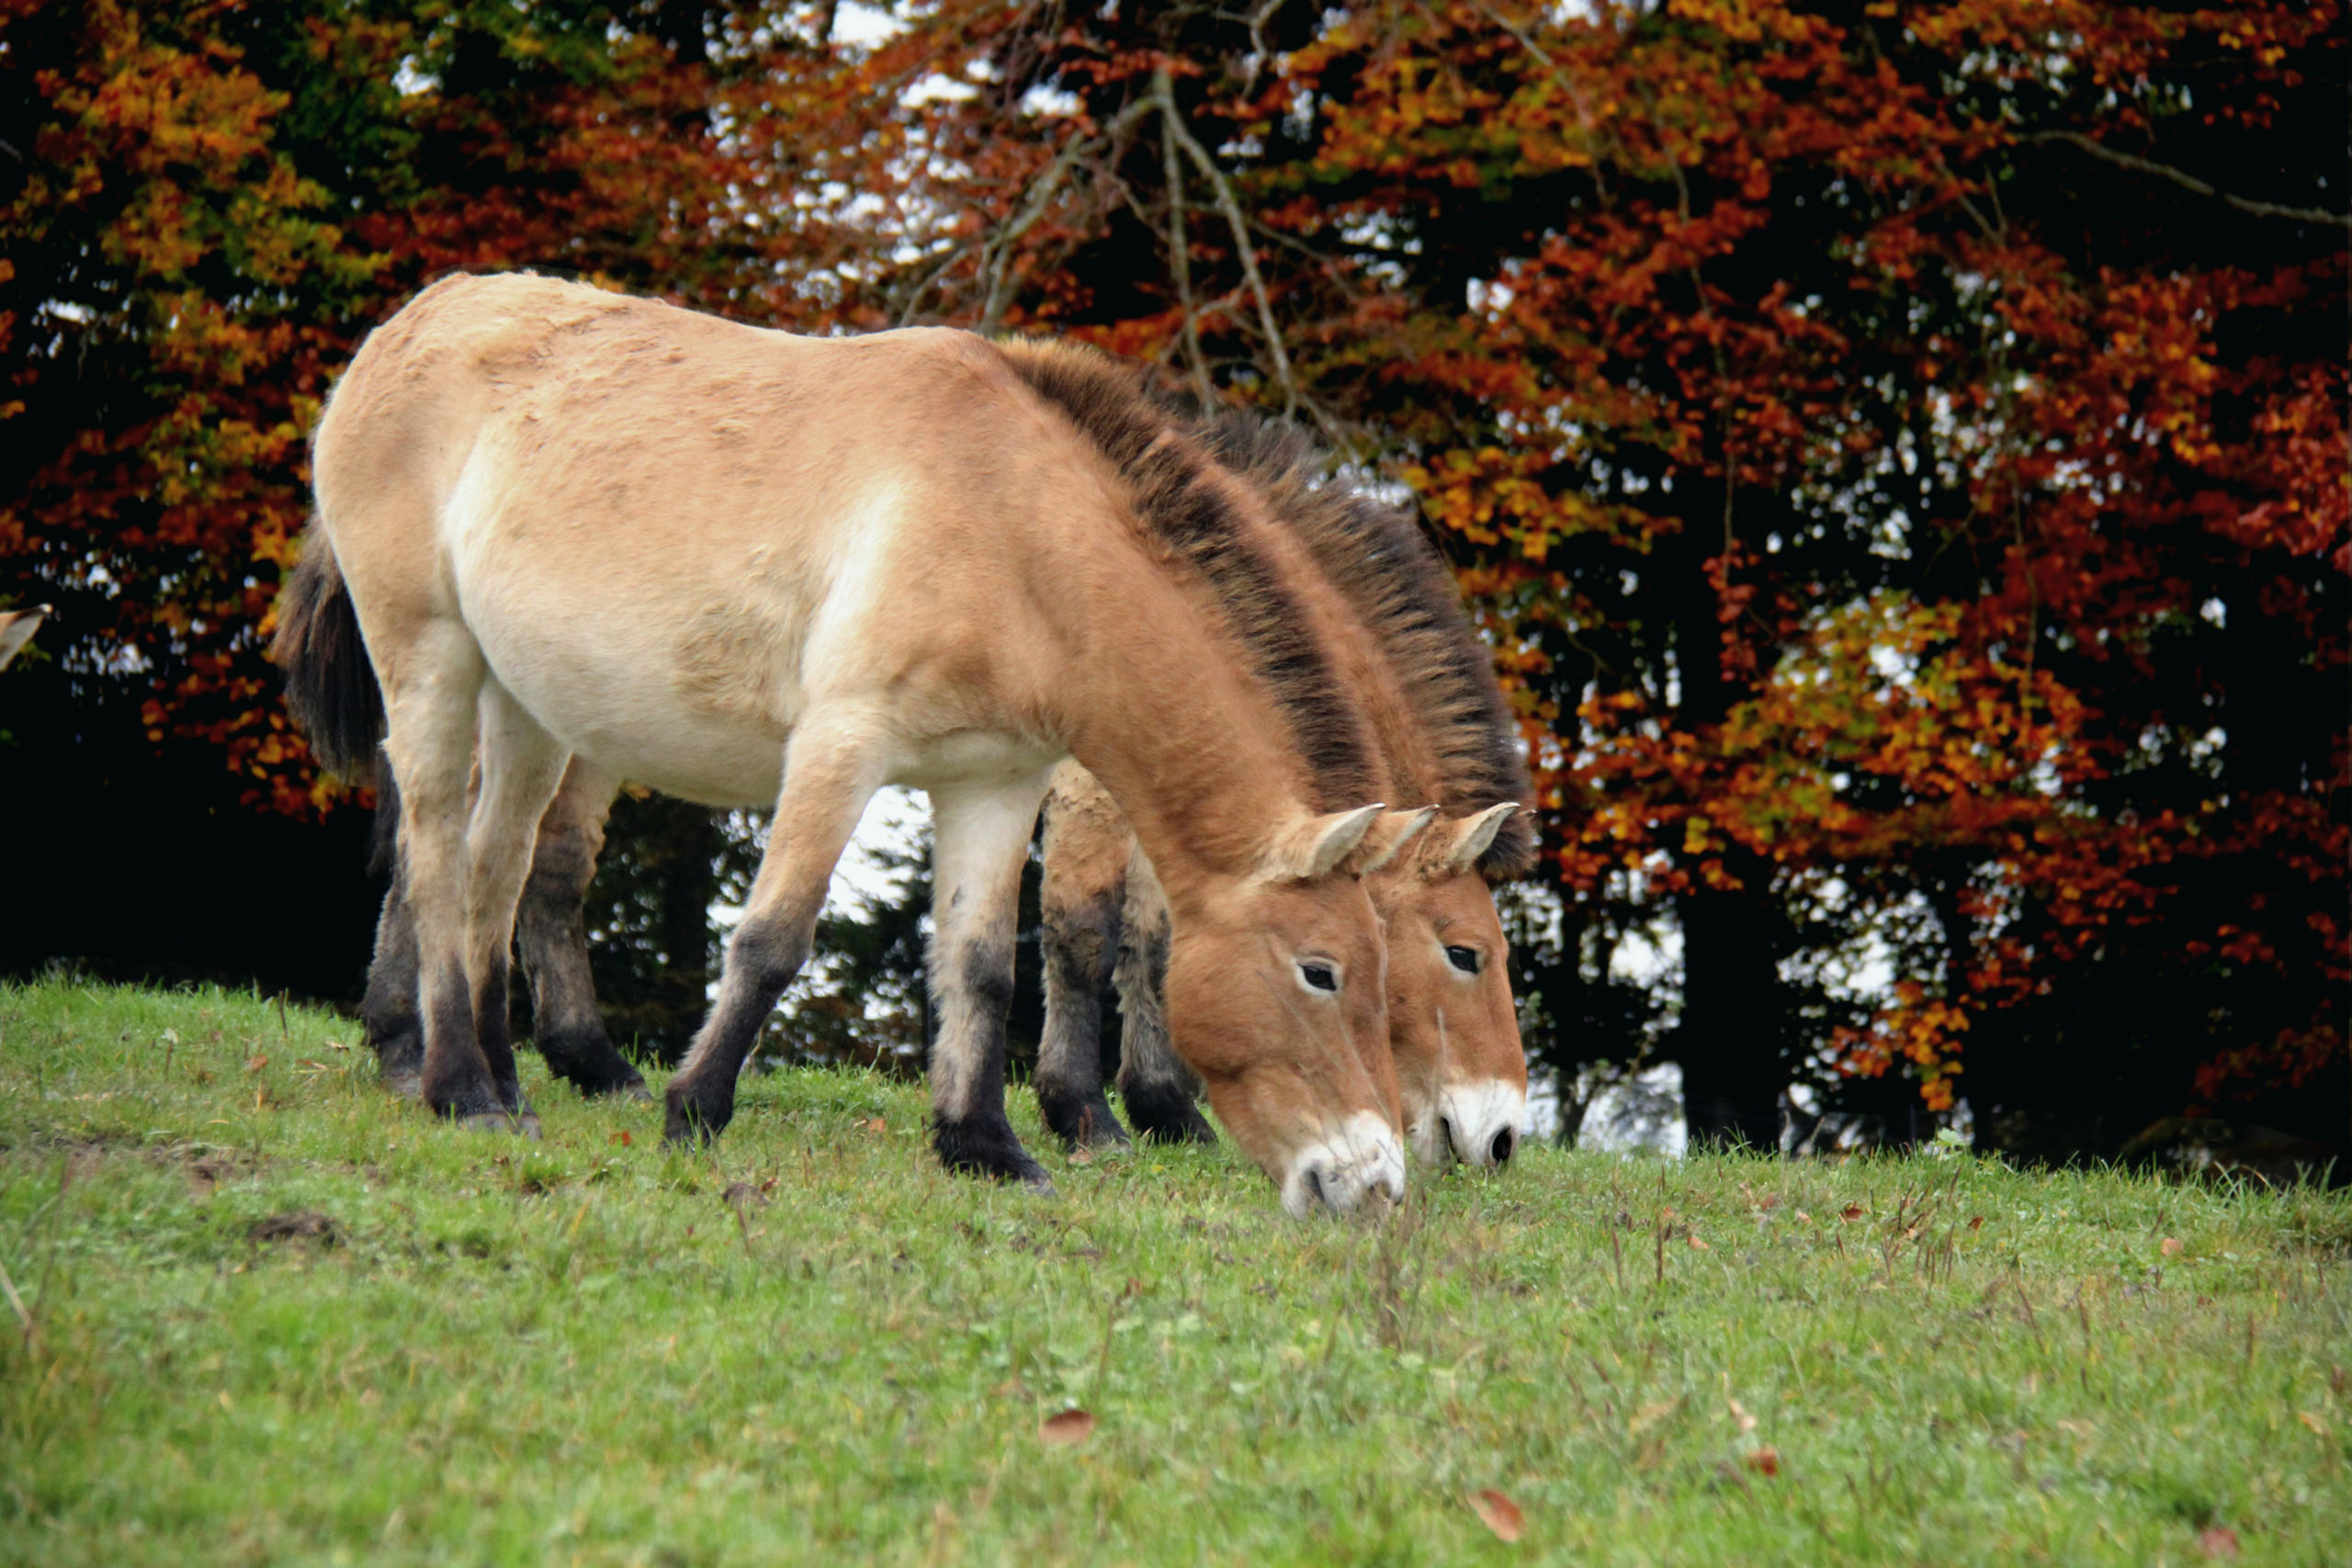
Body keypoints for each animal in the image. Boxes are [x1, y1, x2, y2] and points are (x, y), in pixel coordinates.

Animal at [277, 276, 1420, 1222]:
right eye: (1319, 972)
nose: (1369, 1182)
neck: (1015, 533)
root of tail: (407, 325)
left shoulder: (995, 783)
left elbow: (978, 967)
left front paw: (983, 1147)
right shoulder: (843, 745)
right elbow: (772, 938)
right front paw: (695, 1110)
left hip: (523, 705)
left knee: (493, 865)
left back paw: (504, 1082)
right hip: (433, 660)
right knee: (432, 854)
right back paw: (457, 1087)